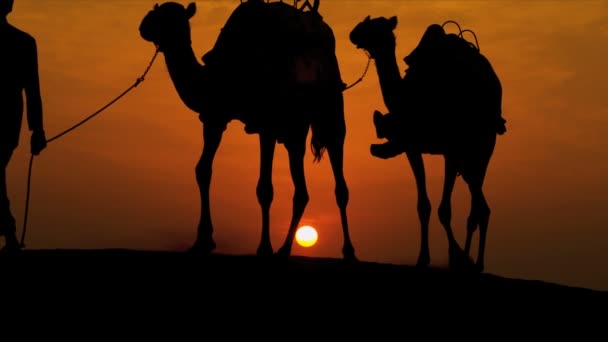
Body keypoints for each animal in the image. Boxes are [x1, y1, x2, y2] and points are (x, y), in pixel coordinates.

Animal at [139, 1, 356, 260]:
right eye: (157, 10)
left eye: (166, 17)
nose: (143, 25)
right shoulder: (215, 116)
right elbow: (203, 170)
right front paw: (203, 241)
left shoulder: (265, 123)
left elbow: (264, 188)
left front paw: (263, 248)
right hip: (296, 126)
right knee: (303, 189)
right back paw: (285, 249)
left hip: (329, 110)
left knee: (338, 179)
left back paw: (347, 250)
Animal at [350, 16, 506, 272]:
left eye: (375, 26)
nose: (353, 33)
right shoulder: (414, 148)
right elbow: (424, 206)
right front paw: (425, 258)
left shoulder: (447, 150)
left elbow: (444, 209)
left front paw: (455, 257)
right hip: (476, 157)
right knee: (478, 207)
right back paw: (475, 262)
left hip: (477, 148)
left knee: (479, 207)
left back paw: (473, 262)